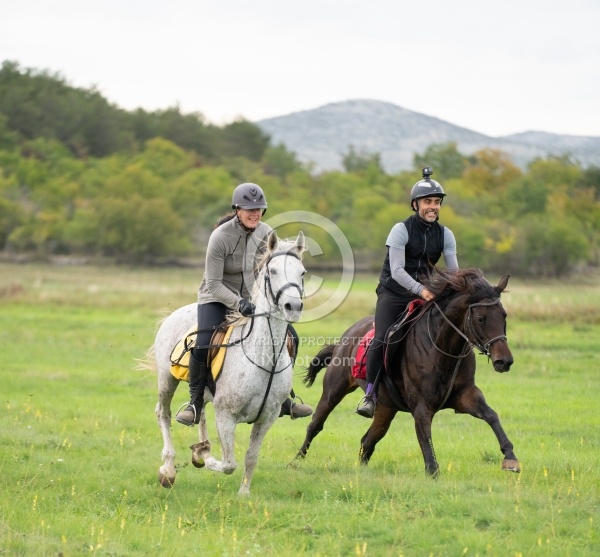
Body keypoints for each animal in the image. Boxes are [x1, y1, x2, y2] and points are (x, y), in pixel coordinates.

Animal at [298, 268, 516, 476]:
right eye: (481, 318)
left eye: (504, 315)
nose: (504, 361)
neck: (442, 351)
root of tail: (345, 338)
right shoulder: (421, 406)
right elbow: (426, 441)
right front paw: (433, 473)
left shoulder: (466, 395)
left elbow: (491, 415)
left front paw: (510, 458)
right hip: (335, 389)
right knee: (315, 424)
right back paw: (297, 461)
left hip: (386, 406)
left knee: (368, 439)